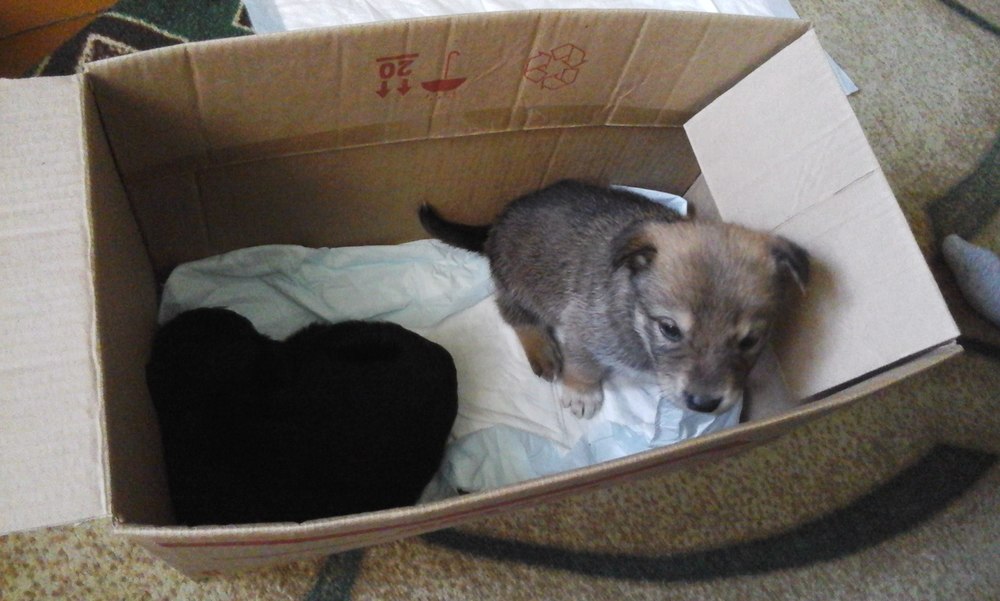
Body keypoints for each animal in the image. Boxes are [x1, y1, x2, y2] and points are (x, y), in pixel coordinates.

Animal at [420, 180, 808, 419]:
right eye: (669, 329)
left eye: (750, 340)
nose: (704, 403)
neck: (633, 314)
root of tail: (497, 222)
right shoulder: (581, 330)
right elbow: (583, 366)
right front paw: (581, 393)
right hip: (520, 284)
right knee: (513, 313)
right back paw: (542, 350)